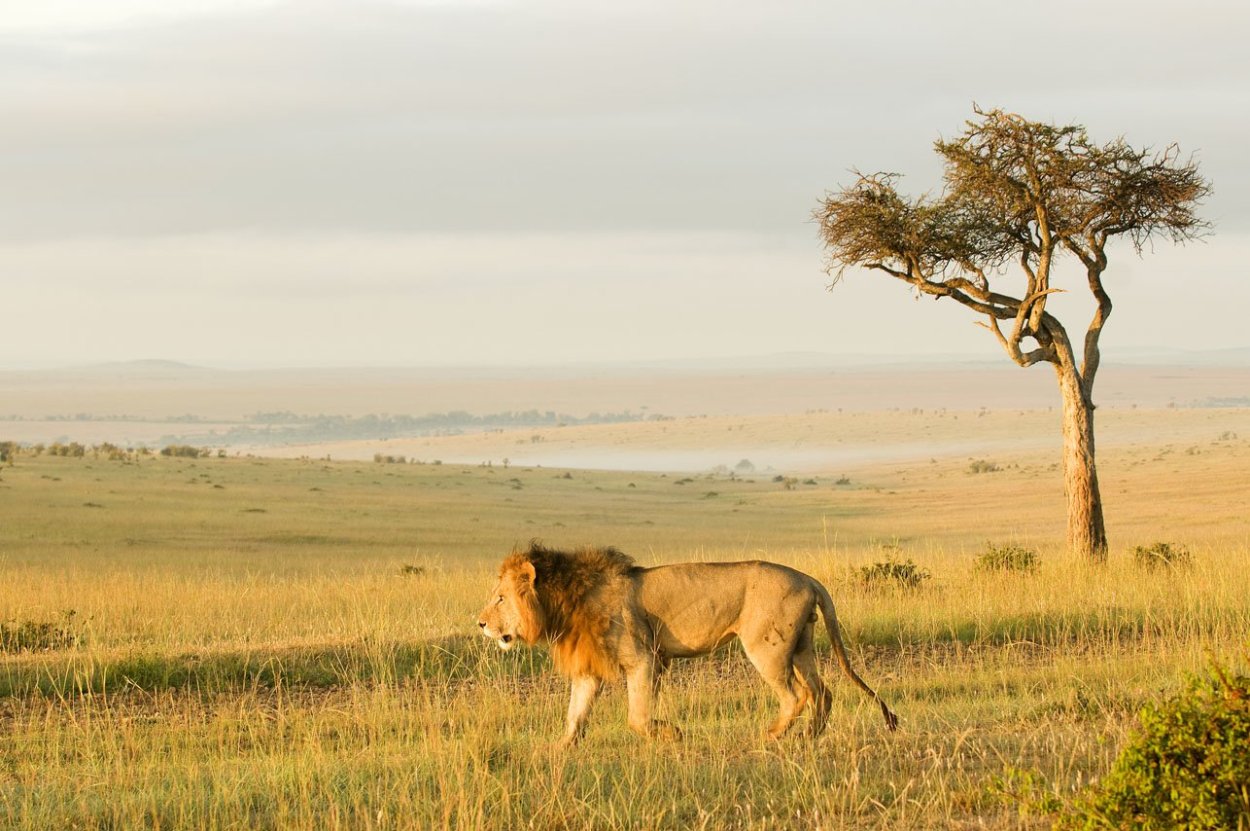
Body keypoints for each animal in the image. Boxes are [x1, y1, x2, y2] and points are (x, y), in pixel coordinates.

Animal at [472, 537, 895, 744]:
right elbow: (575, 715)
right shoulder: (589, 670)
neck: (564, 600)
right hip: (801, 645)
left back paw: (773, 735)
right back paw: (811, 735)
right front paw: (560, 750)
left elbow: (637, 717)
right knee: (822, 692)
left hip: (766, 647)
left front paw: (672, 734)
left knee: (796, 695)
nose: (480, 623)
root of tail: (809, 578)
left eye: (500, 598)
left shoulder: (644, 658)